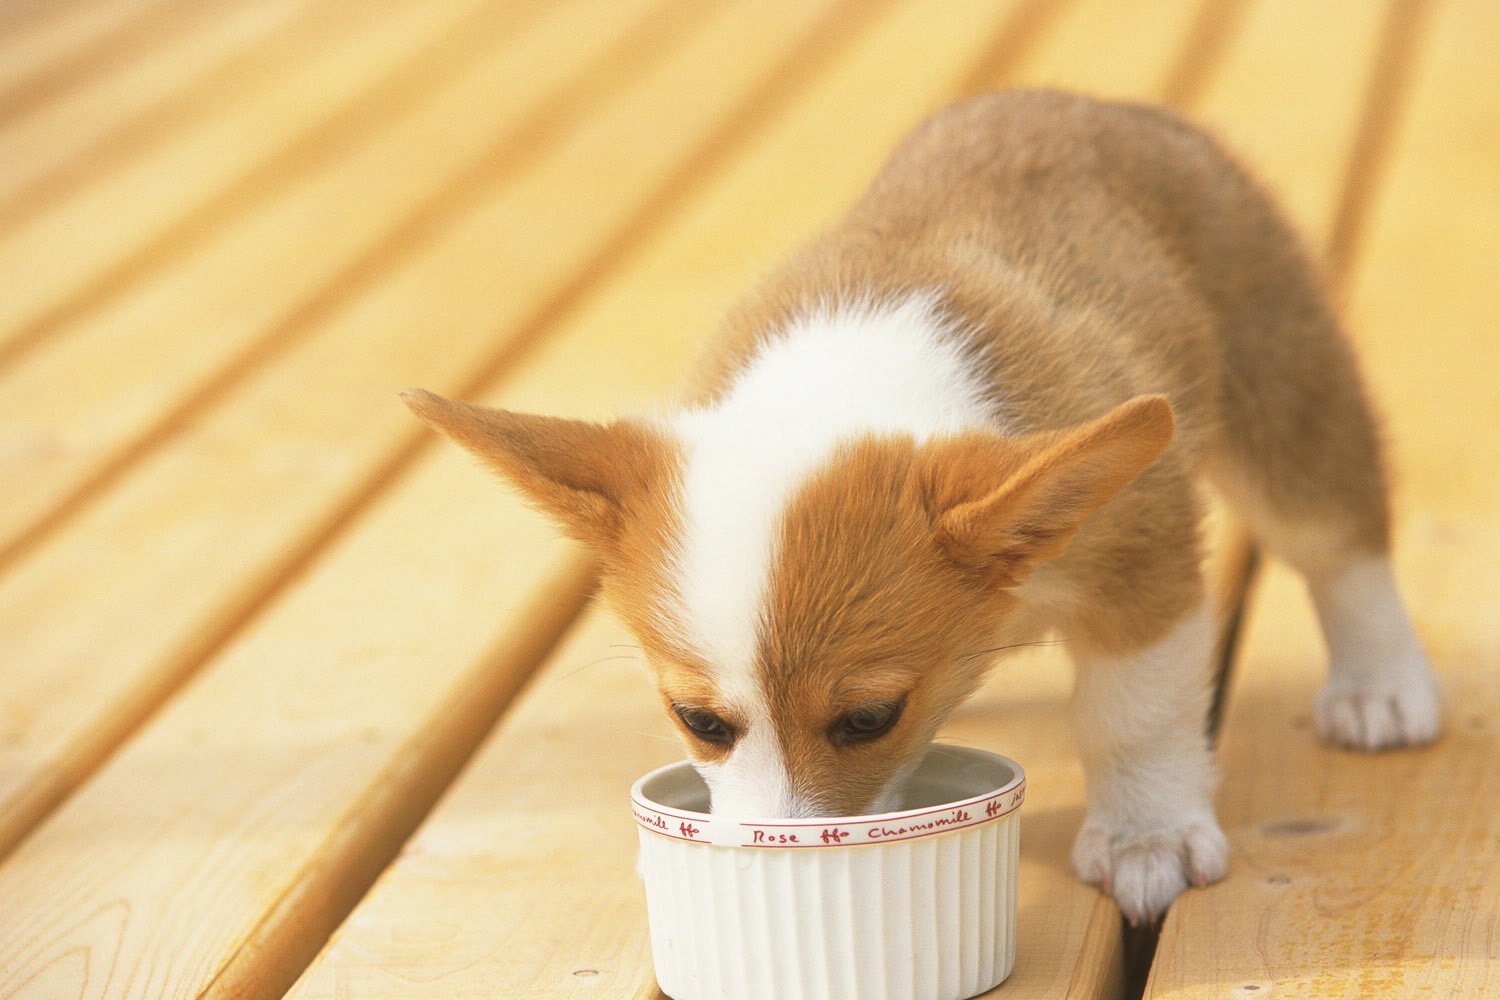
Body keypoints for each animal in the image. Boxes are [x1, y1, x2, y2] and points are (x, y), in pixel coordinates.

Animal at [402, 91, 1440, 923]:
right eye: (700, 723)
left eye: (869, 718)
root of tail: (1090, 105)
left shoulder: (1141, 561)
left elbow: (1133, 712)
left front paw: (1145, 836)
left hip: (1283, 386)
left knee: (1337, 539)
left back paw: (1381, 685)